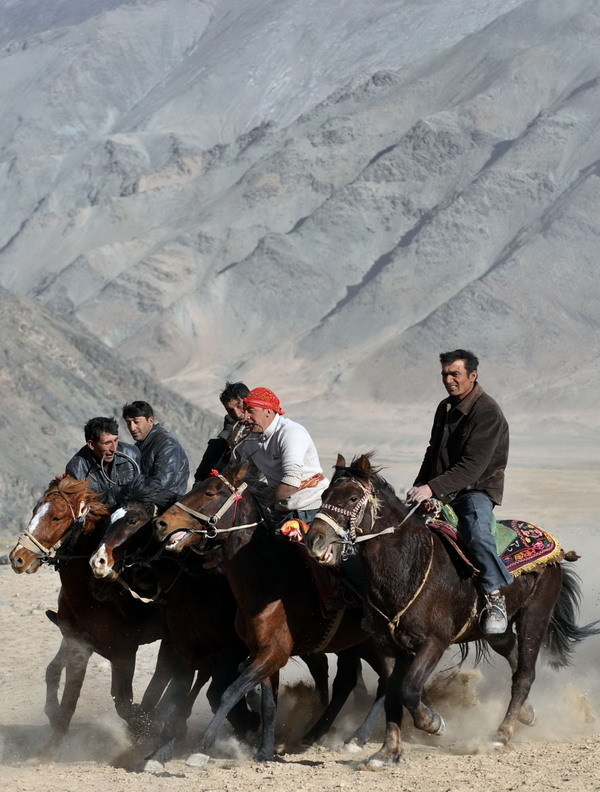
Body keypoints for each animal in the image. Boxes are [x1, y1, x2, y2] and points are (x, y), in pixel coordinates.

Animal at [9, 476, 173, 760]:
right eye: (34, 511)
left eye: (56, 517)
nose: (17, 557)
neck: (91, 595)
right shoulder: (78, 646)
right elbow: (67, 698)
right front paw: (49, 749)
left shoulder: (123, 653)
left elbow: (124, 704)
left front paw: (143, 732)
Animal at [152, 464, 392, 760]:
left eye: (210, 492)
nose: (161, 523)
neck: (269, 578)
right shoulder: (261, 651)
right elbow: (268, 703)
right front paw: (264, 751)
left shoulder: (273, 652)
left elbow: (230, 691)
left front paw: (202, 748)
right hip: (355, 644)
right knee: (350, 681)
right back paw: (313, 734)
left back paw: (359, 736)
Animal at [304, 454, 600, 772]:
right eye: (324, 495)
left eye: (352, 497)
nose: (314, 540)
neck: (408, 564)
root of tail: (555, 548)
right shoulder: (387, 646)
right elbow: (393, 695)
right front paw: (386, 753)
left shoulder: (434, 642)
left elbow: (408, 689)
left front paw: (434, 722)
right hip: (495, 631)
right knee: (511, 652)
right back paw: (527, 713)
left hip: (535, 617)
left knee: (524, 674)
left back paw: (501, 735)